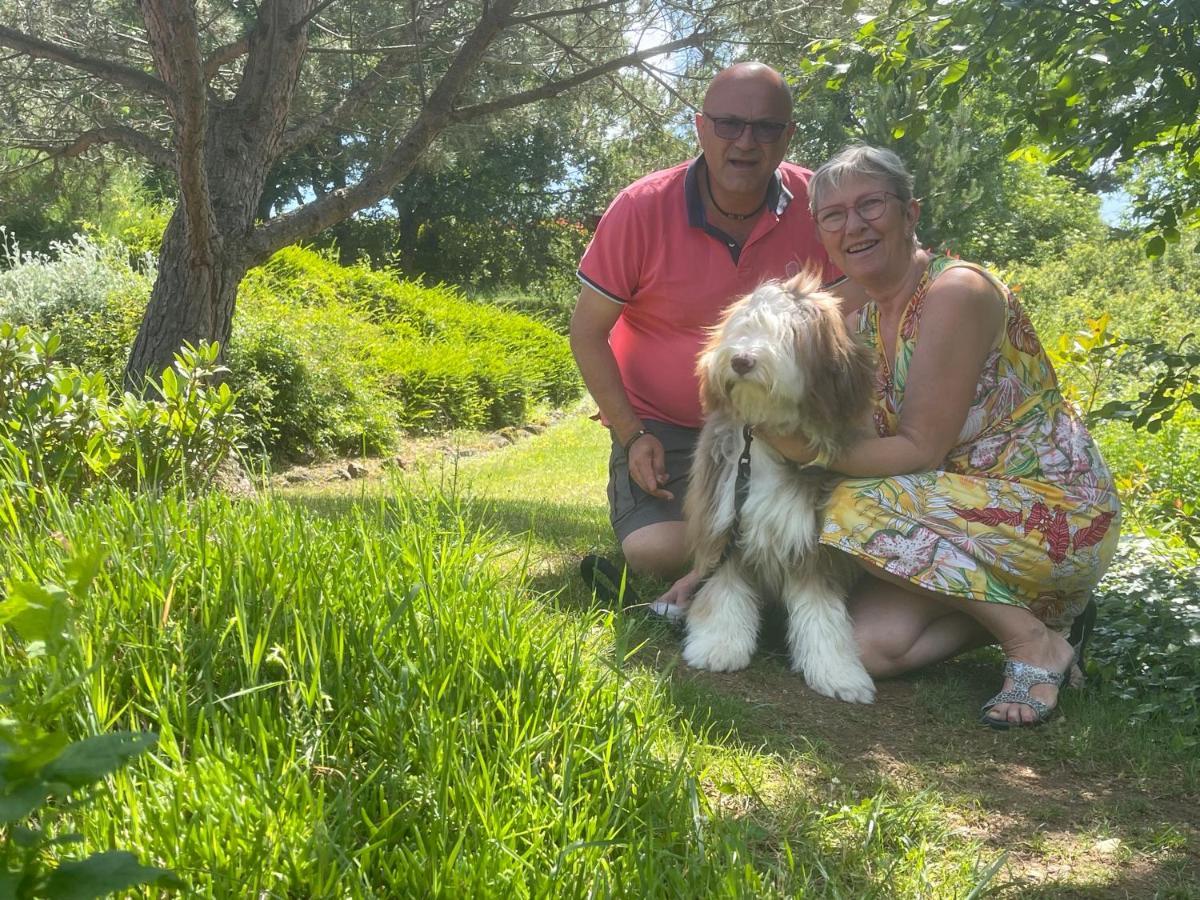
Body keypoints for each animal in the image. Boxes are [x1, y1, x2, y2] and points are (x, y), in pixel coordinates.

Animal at [686, 271, 883, 710]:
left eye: (789, 334)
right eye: (744, 325)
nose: (741, 360)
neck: (762, 441)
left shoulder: (813, 543)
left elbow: (822, 612)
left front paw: (838, 674)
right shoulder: (726, 525)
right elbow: (724, 592)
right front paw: (717, 647)